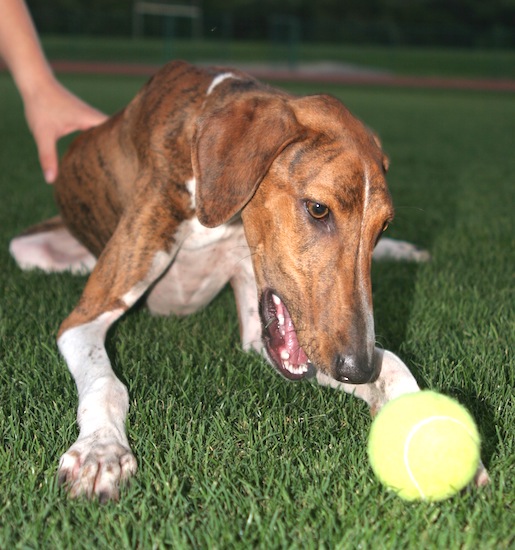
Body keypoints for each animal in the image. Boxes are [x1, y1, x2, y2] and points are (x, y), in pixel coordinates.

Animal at [9, 61, 488, 504]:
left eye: (382, 226)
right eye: (318, 208)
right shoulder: (86, 315)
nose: (357, 368)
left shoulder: (270, 339)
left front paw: (437, 437)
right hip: (29, 249)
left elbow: (394, 363)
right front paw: (101, 452)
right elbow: (106, 383)